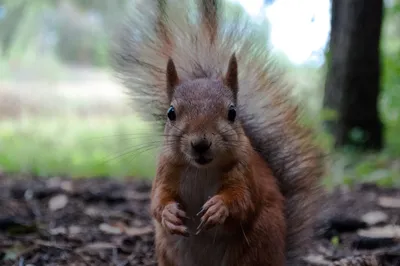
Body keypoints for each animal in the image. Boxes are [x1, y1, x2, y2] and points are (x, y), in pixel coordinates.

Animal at [109, 0, 324, 264]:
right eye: (171, 113)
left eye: (232, 113)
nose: (200, 143)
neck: (200, 170)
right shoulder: (165, 172)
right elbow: (157, 201)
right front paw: (169, 214)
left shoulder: (245, 174)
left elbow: (243, 201)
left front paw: (218, 208)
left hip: (258, 243)